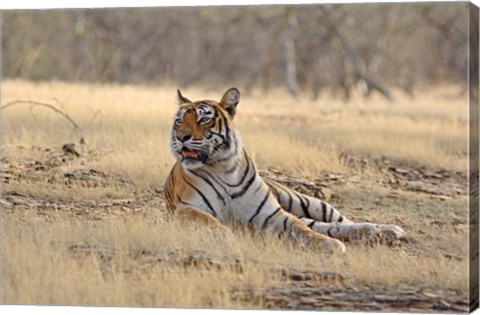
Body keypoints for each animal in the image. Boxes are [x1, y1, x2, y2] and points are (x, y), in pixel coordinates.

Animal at [165, 87, 404, 253]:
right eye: (179, 121)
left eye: (204, 118)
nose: (181, 136)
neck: (222, 168)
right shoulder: (186, 209)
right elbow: (211, 223)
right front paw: (228, 237)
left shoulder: (272, 214)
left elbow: (301, 229)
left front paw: (330, 245)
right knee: (328, 225)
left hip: (306, 202)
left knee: (341, 222)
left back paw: (388, 230)